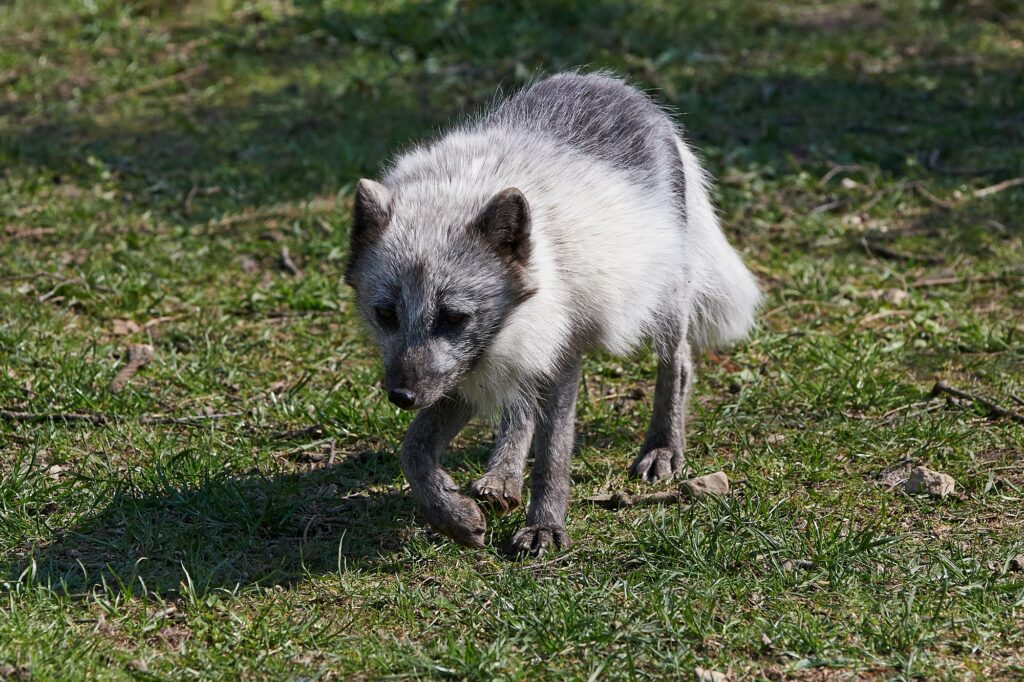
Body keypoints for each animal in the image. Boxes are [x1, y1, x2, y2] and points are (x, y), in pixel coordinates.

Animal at [346, 73, 761, 552]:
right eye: (386, 314)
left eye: (453, 317)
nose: (402, 397)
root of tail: (614, 85)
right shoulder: (471, 366)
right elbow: (412, 450)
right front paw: (452, 517)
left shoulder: (556, 356)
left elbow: (553, 453)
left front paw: (545, 526)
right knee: (520, 406)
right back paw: (503, 476)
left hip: (665, 299)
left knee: (678, 364)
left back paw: (663, 446)